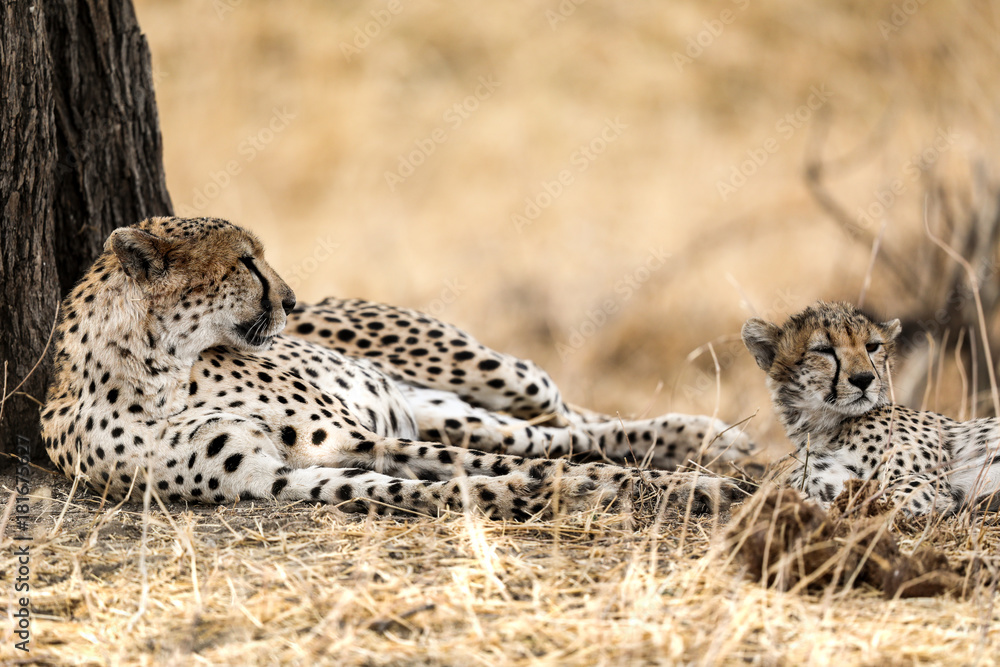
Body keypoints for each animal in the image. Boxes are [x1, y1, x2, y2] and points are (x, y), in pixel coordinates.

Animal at [40, 215, 755, 520]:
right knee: (558, 435)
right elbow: (426, 486)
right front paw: (523, 496)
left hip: (496, 376)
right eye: (246, 261)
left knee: (565, 417)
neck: (159, 369)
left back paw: (706, 439)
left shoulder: (356, 435)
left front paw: (679, 490)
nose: (292, 301)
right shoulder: (279, 477)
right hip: (445, 410)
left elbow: (516, 464)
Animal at [742, 300, 1000, 516]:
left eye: (872, 346)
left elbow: (873, 505)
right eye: (823, 349)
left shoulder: (922, 484)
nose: (863, 379)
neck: (824, 427)